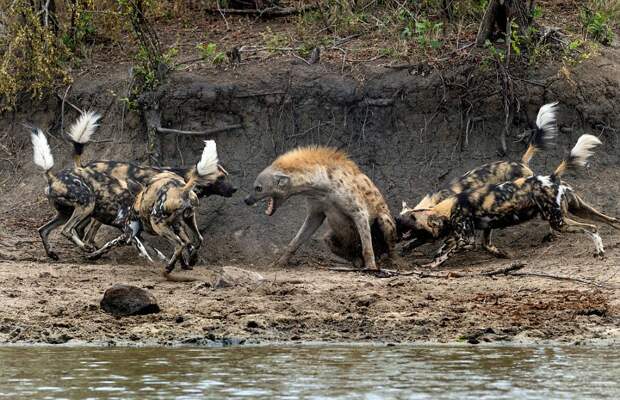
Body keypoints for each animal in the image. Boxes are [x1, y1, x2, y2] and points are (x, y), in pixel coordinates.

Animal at [87, 141, 223, 282]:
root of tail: (182, 189)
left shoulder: (128, 235)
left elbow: (108, 244)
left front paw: (93, 255)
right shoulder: (174, 228)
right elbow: (182, 247)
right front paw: (186, 264)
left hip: (157, 224)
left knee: (179, 244)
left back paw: (168, 268)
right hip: (187, 219)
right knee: (196, 239)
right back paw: (187, 262)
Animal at [243, 145, 398, 274]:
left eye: (258, 188)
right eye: (254, 187)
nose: (246, 200)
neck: (322, 187)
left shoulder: (359, 211)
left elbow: (367, 244)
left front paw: (371, 267)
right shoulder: (316, 211)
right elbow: (297, 239)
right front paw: (280, 262)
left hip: (384, 220)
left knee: (389, 246)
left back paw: (389, 262)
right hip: (331, 237)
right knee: (332, 241)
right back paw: (356, 261)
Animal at [404, 134, 604, 268]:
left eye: (413, 227)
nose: (400, 243)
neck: (446, 205)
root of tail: (551, 177)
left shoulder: (466, 239)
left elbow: (443, 254)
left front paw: (430, 266)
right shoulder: (467, 231)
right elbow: (446, 250)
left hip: (558, 221)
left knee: (589, 228)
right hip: (563, 216)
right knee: (596, 225)